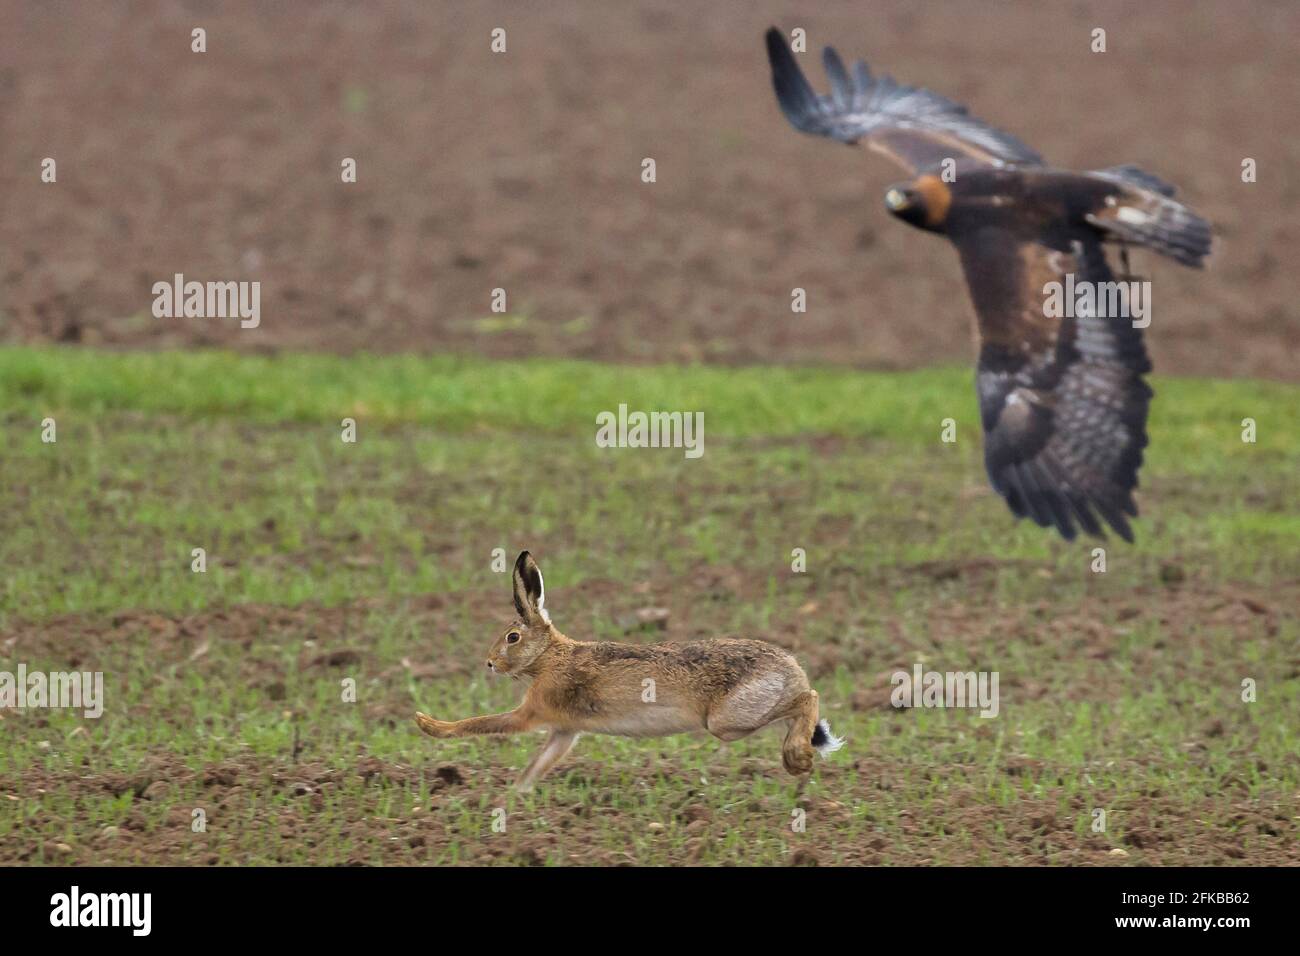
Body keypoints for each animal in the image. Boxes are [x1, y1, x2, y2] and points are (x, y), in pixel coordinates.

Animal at [415, 551, 844, 790]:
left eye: (513, 637)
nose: (490, 663)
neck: (551, 656)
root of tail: (792, 670)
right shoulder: (564, 731)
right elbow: (539, 764)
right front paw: (513, 797)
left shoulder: (532, 712)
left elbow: (482, 723)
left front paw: (429, 725)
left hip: (728, 718)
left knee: (809, 698)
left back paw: (798, 757)